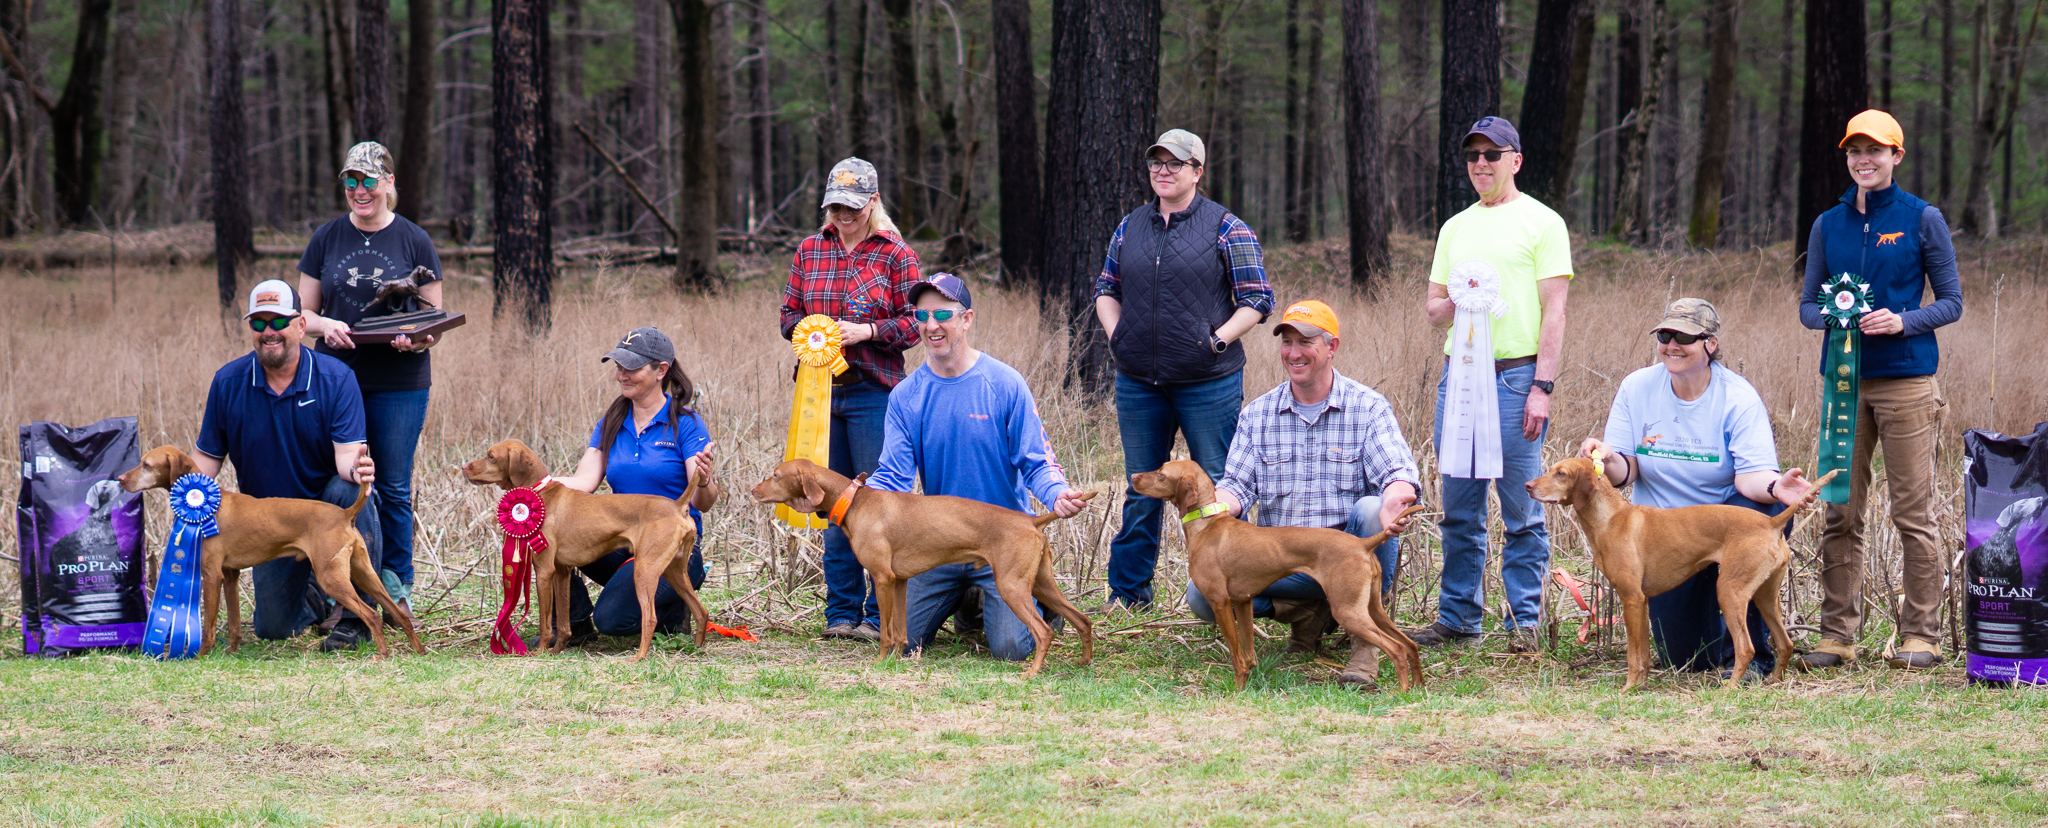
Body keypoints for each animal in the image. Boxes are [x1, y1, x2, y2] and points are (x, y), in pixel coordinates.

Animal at [117, 446, 423, 659]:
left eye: (146, 465)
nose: (120, 479)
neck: (208, 507)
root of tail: (344, 514)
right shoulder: (230, 575)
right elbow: (234, 621)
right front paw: (231, 652)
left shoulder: (212, 575)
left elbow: (210, 623)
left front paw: (201, 655)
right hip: (364, 574)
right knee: (398, 613)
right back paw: (418, 649)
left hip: (332, 578)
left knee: (371, 615)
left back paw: (382, 654)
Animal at [464, 440, 712, 659]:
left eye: (491, 456)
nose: (464, 467)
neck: (541, 495)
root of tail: (677, 506)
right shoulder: (562, 571)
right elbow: (564, 623)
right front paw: (556, 650)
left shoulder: (543, 570)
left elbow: (545, 623)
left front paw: (541, 651)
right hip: (674, 571)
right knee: (701, 611)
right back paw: (698, 647)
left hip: (644, 570)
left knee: (650, 617)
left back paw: (639, 657)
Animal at [753, 459, 1097, 680]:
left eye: (775, 474)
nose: (754, 491)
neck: (855, 502)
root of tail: (1031, 520)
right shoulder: (900, 581)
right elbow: (901, 631)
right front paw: (898, 660)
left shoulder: (882, 578)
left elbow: (885, 633)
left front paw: (880, 663)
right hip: (1042, 585)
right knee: (1082, 619)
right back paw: (1084, 661)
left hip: (1012, 587)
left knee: (1043, 631)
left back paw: (1032, 672)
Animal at [1122, 463, 1425, 688]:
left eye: (1161, 473)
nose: (1133, 476)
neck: (1208, 525)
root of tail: (1362, 544)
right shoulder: (1243, 601)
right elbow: (1248, 653)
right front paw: (1246, 683)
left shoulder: (1220, 602)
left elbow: (1236, 655)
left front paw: (1236, 690)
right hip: (1373, 608)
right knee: (1409, 645)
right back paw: (1418, 687)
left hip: (1348, 610)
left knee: (1396, 649)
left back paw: (1401, 690)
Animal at [1523, 457, 1843, 688]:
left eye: (1561, 474)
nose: (1527, 485)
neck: (1610, 518)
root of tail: (1770, 523)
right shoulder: (1641, 602)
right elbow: (1642, 653)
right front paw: (1640, 685)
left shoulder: (1631, 598)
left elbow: (1632, 655)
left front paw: (1627, 688)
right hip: (1765, 597)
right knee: (1785, 643)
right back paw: (1774, 680)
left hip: (1730, 591)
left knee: (1746, 648)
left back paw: (1729, 689)